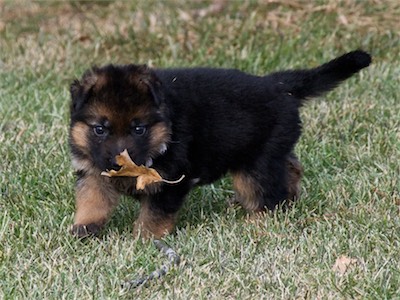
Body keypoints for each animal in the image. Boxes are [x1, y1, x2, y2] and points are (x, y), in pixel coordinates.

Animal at [69, 49, 372, 239]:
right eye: (99, 129)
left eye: (138, 129)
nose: (116, 163)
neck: (165, 131)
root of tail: (278, 86)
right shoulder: (94, 172)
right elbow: (92, 200)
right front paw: (83, 230)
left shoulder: (172, 180)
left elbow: (154, 215)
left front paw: (143, 241)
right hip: (272, 151)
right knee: (290, 167)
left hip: (255, 164)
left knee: (266, 194)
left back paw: (257, 221)